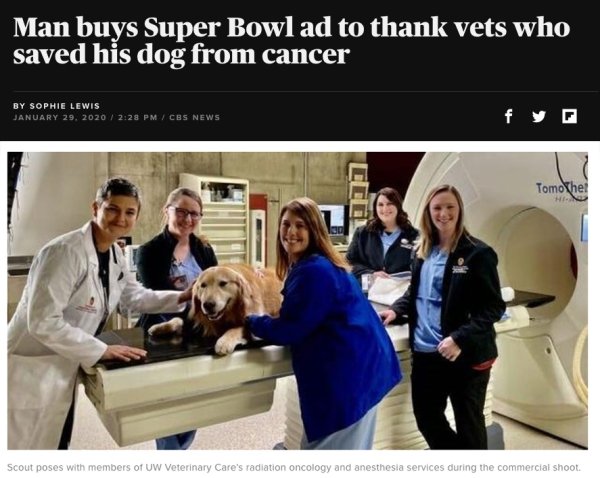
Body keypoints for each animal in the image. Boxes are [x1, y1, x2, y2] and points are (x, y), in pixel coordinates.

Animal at [149, 266, 282, 354]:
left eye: (223, 283)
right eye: (203, 285)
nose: (207, 305)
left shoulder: (256, 319)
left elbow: (237, 328)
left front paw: (224, 341)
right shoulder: (200, 321)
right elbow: (178, 319)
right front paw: (160, 327)